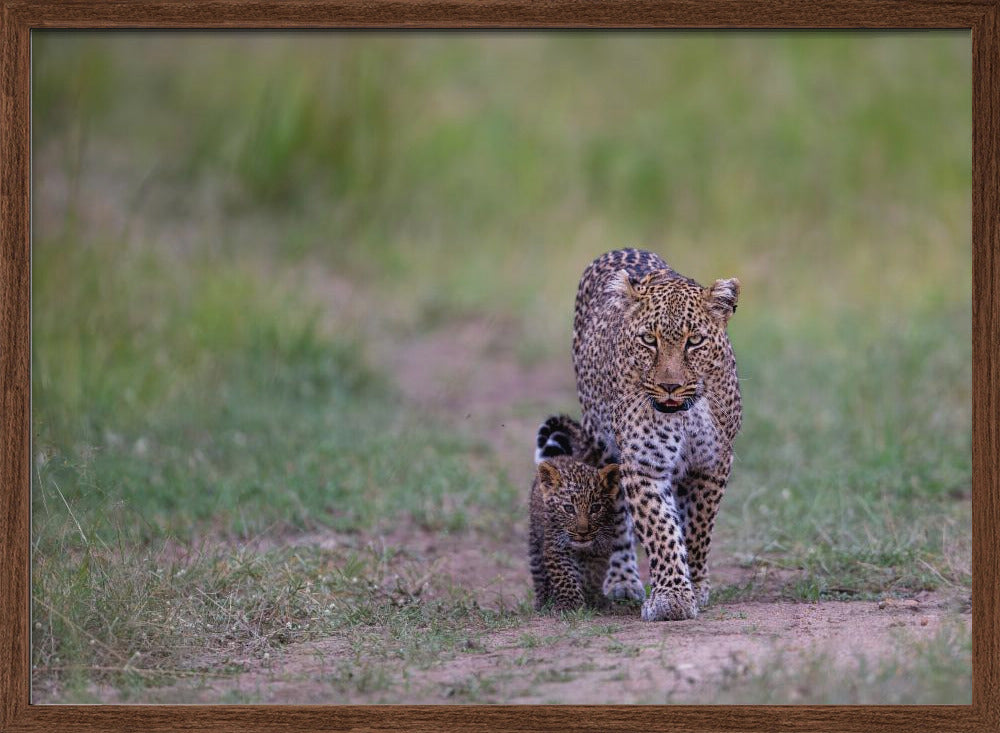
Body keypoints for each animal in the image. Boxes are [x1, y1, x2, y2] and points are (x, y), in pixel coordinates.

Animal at [529, 420, 622, 612]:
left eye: (595, 508)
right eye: (569, 508)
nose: (583, 532)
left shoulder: (600, 549)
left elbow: (592, 575)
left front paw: (593, 599)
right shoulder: (555, 546)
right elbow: (564, 576)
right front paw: (570, 604)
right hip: (535, 539)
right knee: (539, 572)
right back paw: (542, 601)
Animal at [571, 248, 742, 621]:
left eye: (694, 342)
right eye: (649, 340)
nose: (669, 386)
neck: (685, 414)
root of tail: (621, 248)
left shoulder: (712, 463)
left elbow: (696, 529)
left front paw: (693, 584)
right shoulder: (643, 463)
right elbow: (660, 529)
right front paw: (672, 598)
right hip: (600, 444)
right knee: (617, 516)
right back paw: (622, 581)